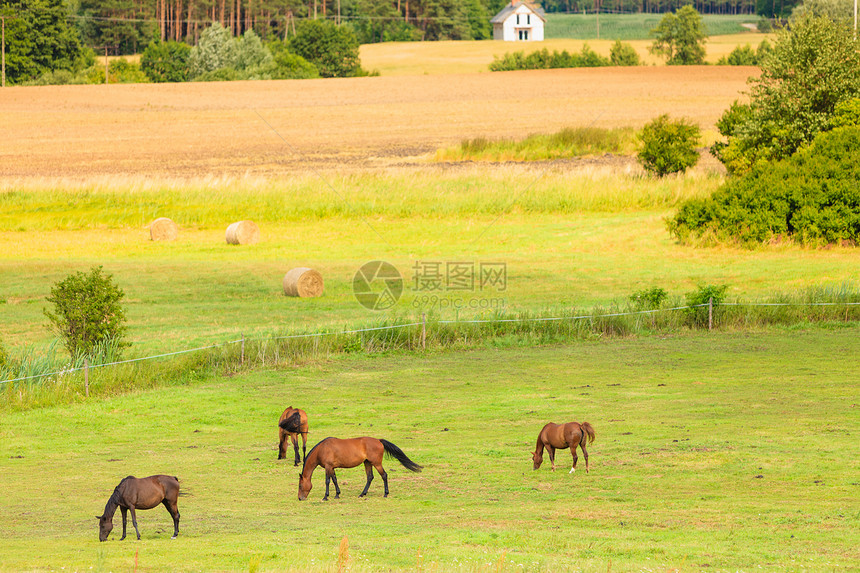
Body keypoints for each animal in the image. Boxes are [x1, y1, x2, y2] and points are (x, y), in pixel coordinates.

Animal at [296, 436, 424, 498]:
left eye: (300, 485)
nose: (300, 498)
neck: (322, 449)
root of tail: (379, 441)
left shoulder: (328, 467)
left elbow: (327, 481)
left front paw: (326, 496)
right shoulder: (332, 468)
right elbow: (335, 480)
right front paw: (337, 494)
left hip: (376, 463)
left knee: (384, 475)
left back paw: (385, 494)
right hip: (367, 463)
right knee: (370, 477)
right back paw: (362, 494)